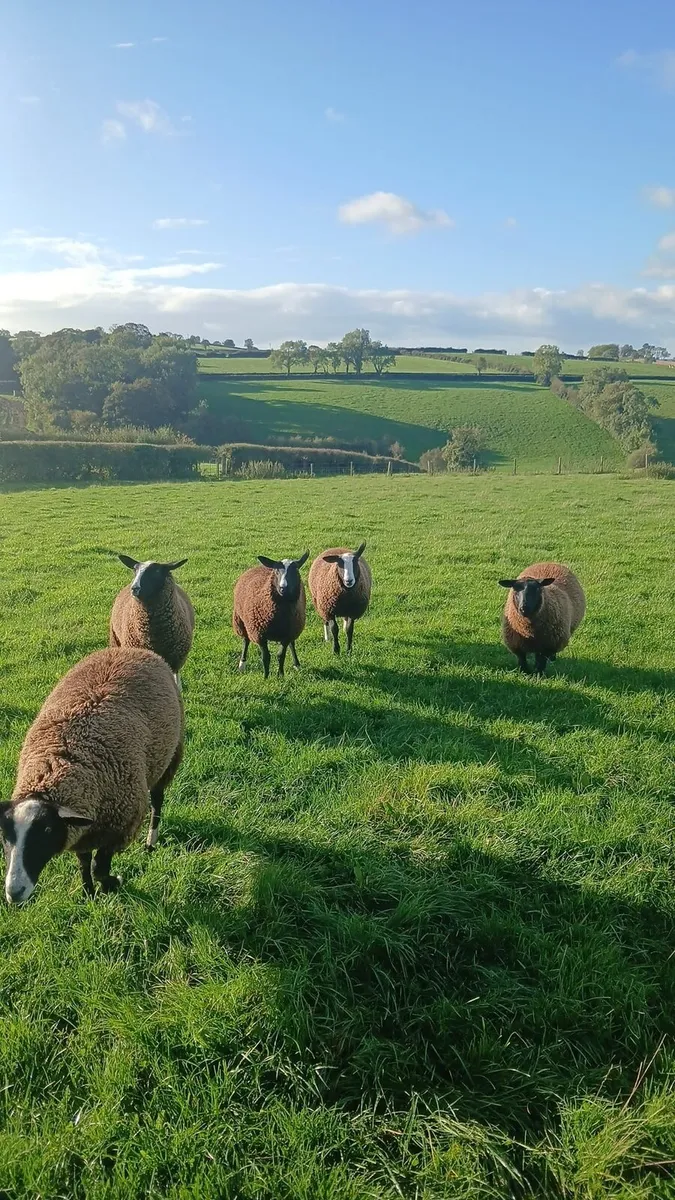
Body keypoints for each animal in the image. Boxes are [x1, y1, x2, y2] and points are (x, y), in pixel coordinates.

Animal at [0, 648, 183, 904]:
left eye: (47, 831)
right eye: (4, 833)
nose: (14, 892)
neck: (58, 765)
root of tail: (133, 650)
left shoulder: (119, 827)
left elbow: (98, 867)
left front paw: (112, 883)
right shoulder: (83, 830)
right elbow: (84, 862)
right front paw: (88, 893)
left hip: (169, 755)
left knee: (157, 800)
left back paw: (150, 842)